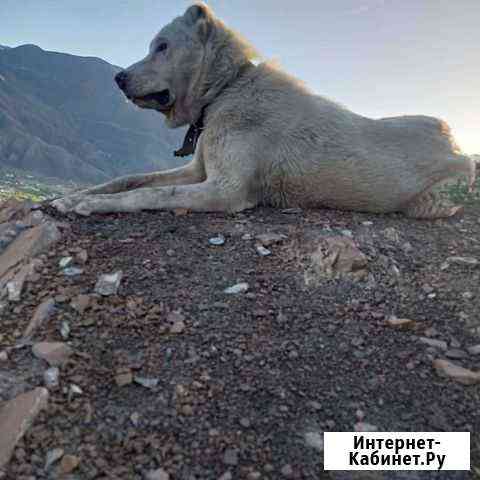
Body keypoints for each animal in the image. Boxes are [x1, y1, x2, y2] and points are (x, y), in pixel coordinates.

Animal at [53, 1, 476, 218]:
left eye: (162, 46)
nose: (118, 78)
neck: (226, 90)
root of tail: (455, 143)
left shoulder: (223, 191)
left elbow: (149, 195)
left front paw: (87, 205)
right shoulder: (197, 171)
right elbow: (131, 181)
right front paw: (68, 198)